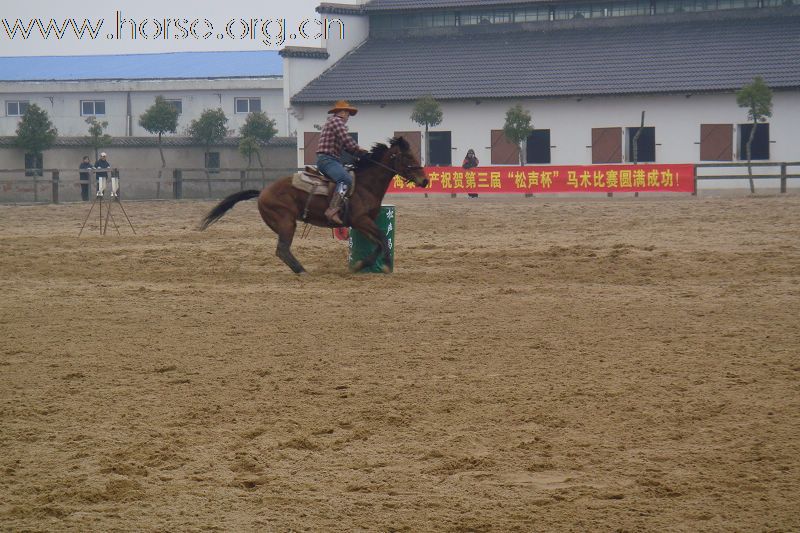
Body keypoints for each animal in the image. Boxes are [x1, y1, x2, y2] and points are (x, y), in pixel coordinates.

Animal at [199, 136, 428, 274]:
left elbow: (379, 242)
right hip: (286, 221)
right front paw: (385, 265)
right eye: (408, 156)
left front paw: (361, 264)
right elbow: (381, 237)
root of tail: (262, 191)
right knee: (282, 249)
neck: (364, 185)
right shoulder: (361, 220)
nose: (425, 180)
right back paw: (301, 270)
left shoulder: (361, 223)